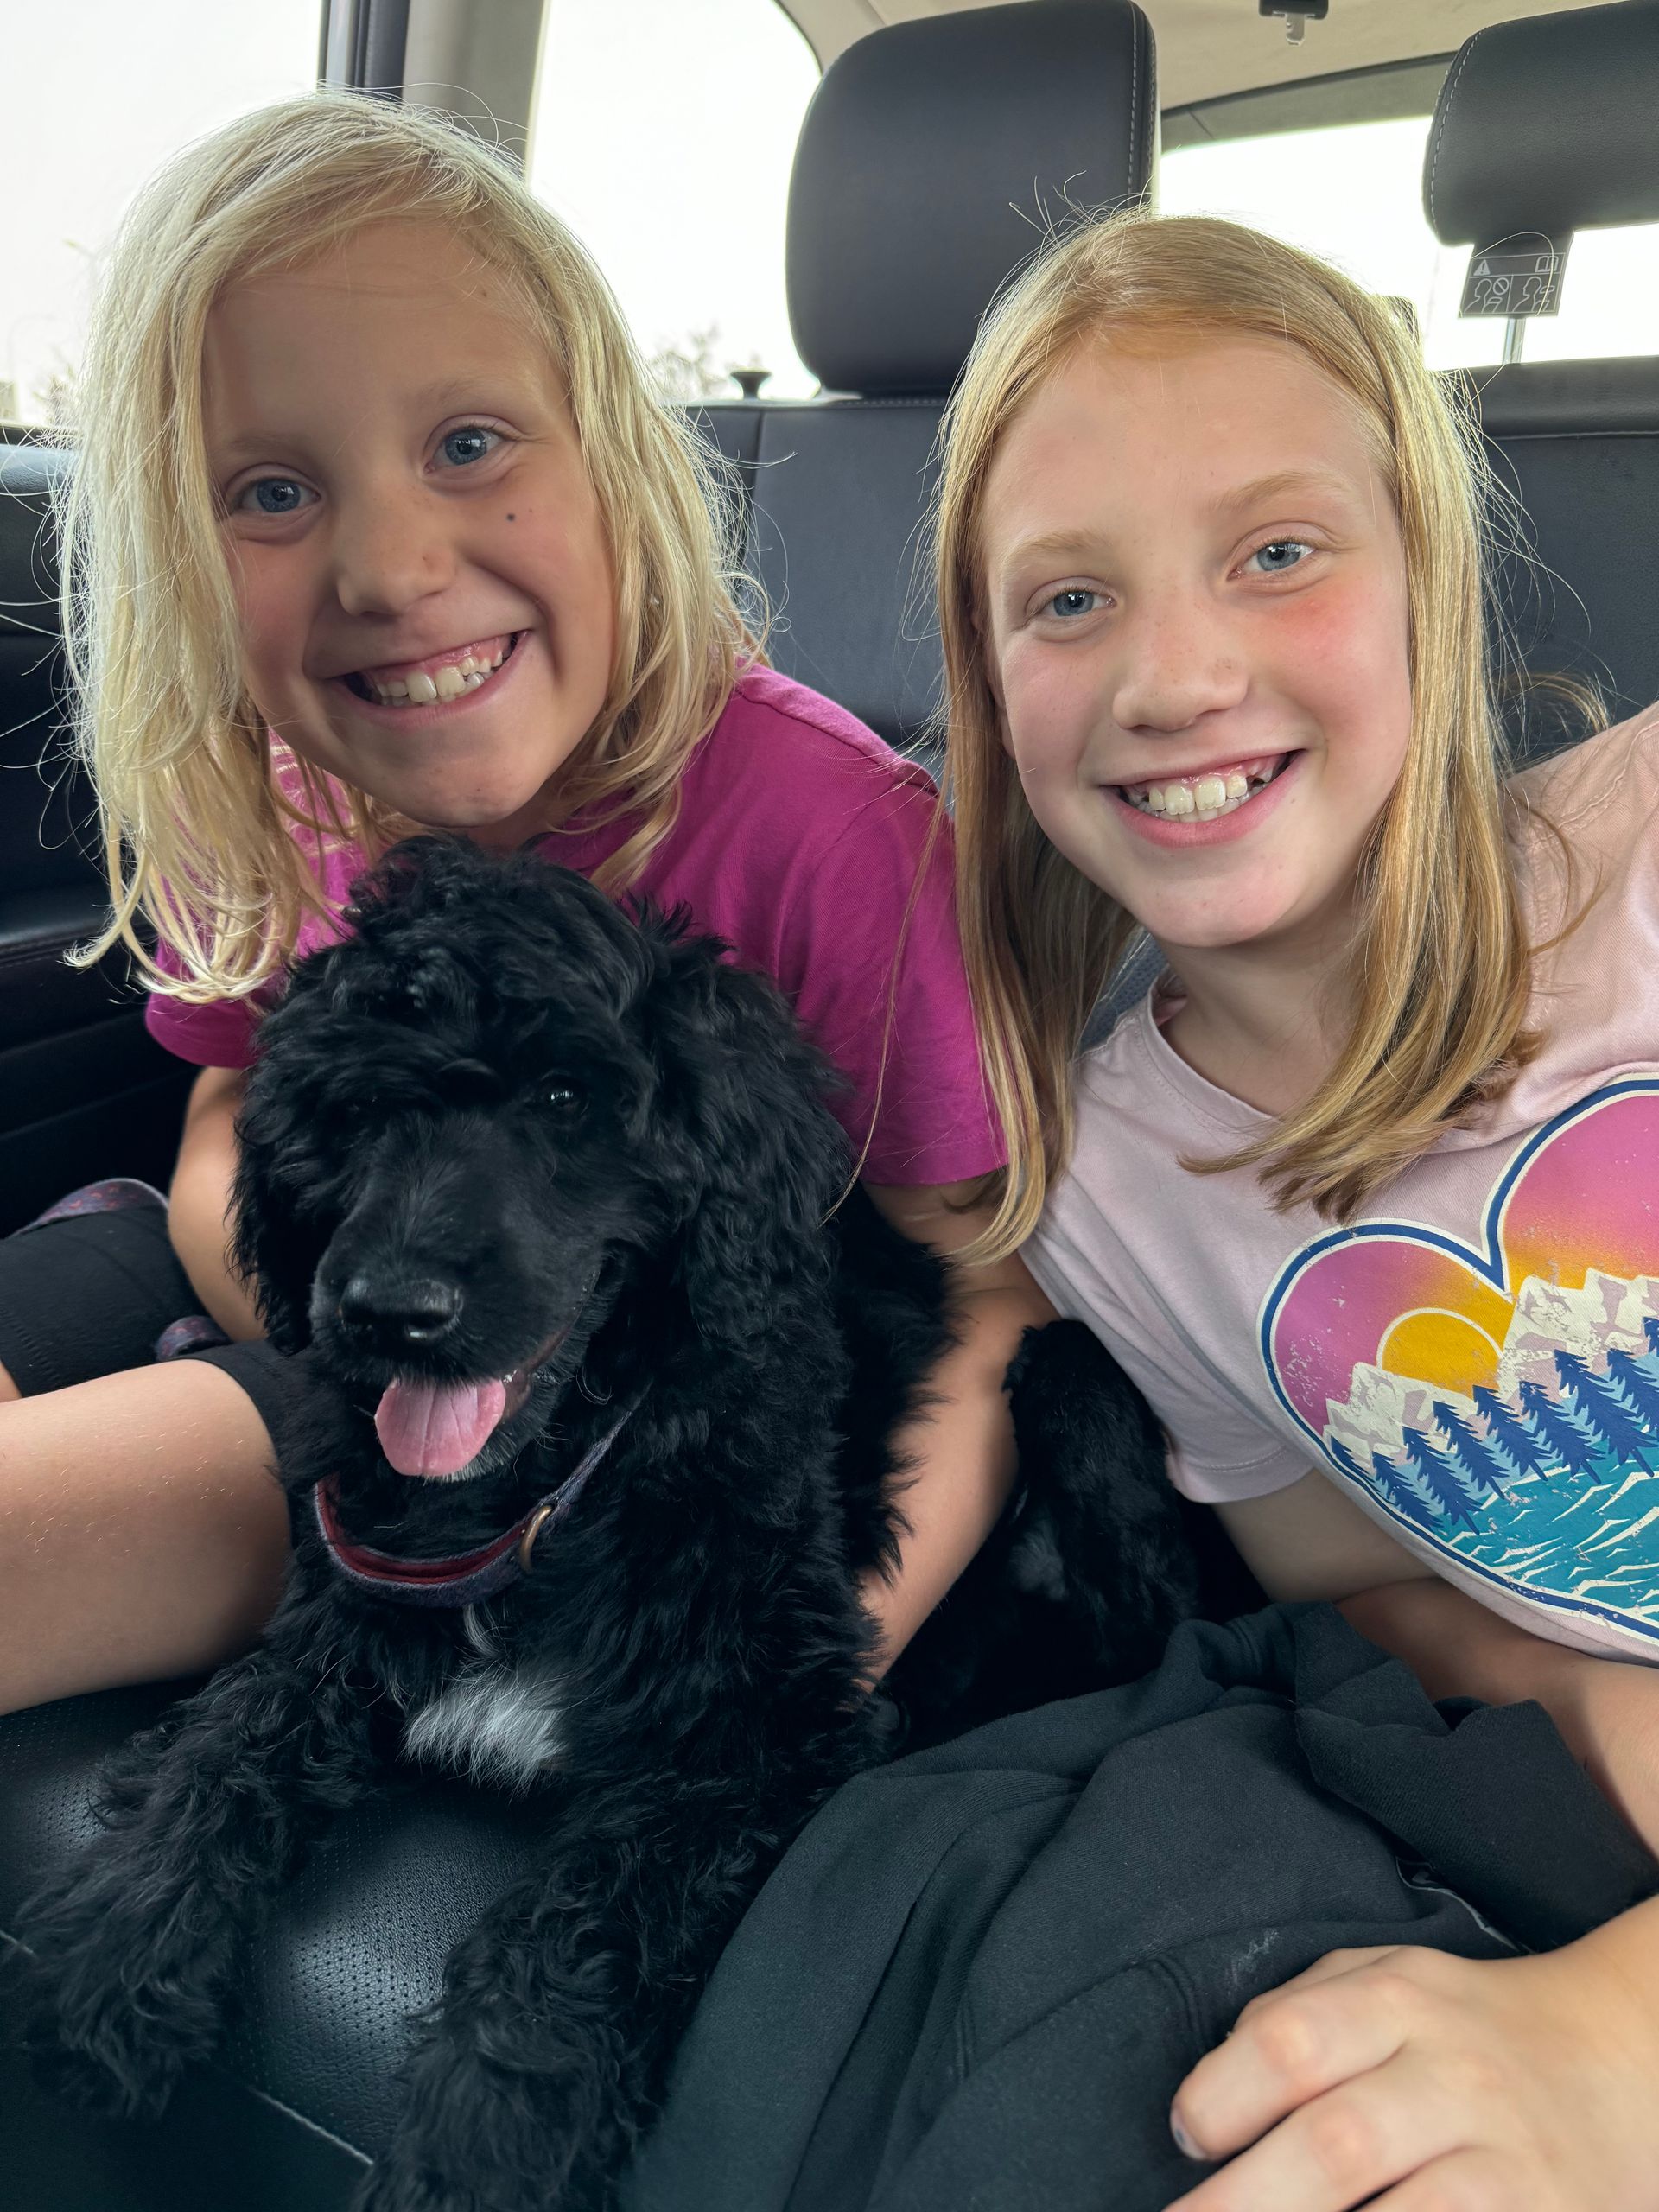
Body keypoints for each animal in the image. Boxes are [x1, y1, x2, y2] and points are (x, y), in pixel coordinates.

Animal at [22, 837, 1198, 2211]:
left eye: (567, 1101)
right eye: (356, 1115)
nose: (387, 1311)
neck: (554, 1483)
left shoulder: (750, 1733)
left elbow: (572, 1939)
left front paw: (471, 2161)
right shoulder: (348, 1601)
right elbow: (235, 1737)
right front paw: (116, 1951)